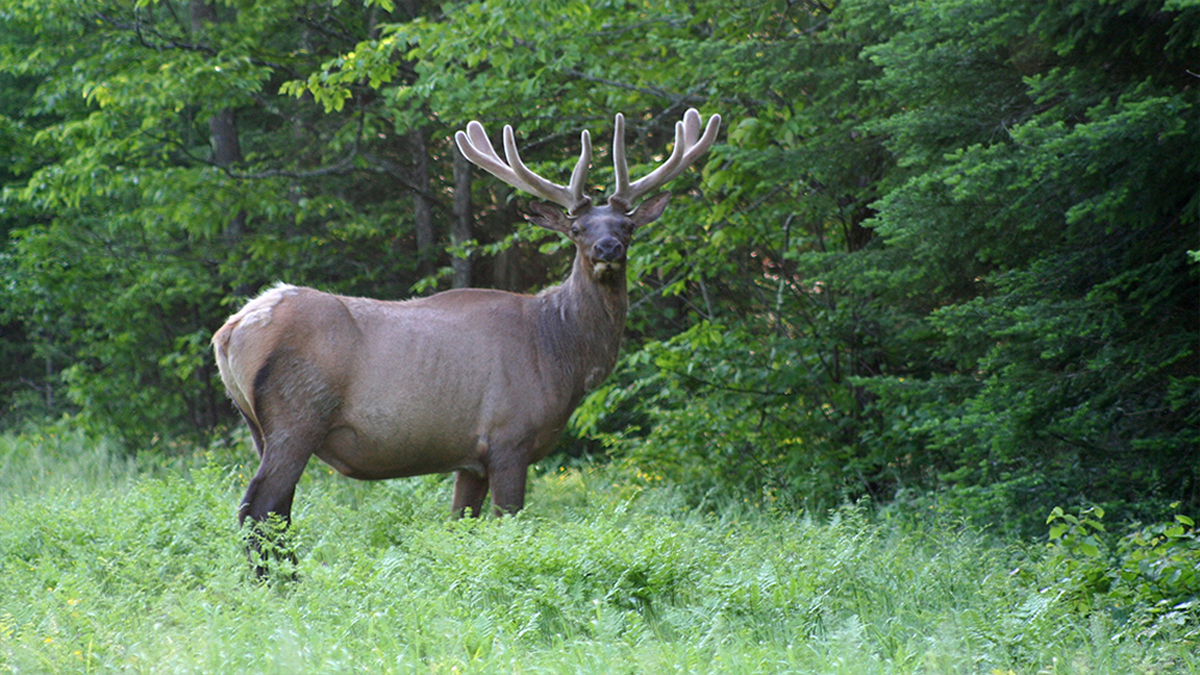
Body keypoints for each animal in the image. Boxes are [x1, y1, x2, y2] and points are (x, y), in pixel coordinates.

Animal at [212, 107, 720, 557]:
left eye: (629, 226)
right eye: (576, 228)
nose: (608, 248)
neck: (560, 354)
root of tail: (229, 331)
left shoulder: (470, 458)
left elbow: (460, 526)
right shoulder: (509, 437)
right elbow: (509, 522)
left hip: (257, 424)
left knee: (275, 511)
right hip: (298, 412)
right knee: (259, 507)